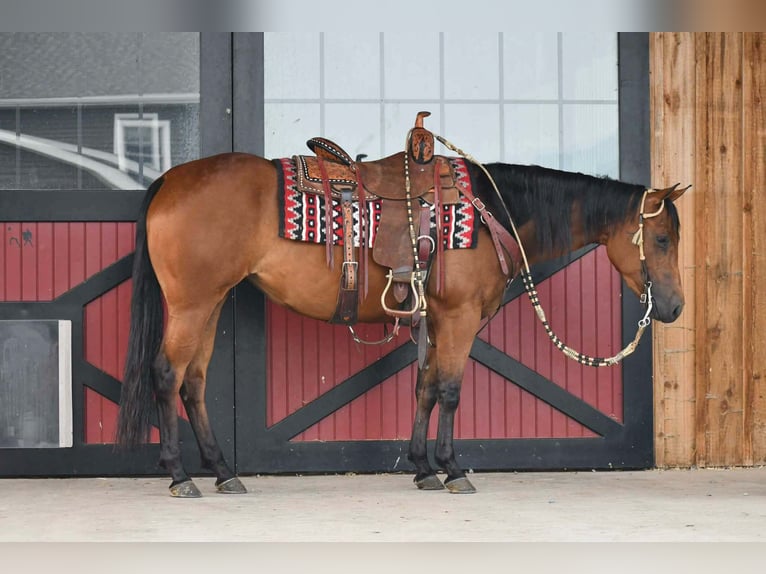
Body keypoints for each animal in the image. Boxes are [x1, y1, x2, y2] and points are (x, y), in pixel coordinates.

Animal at [115, 131, 687, 497]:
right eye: (661, 238)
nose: (675, 306)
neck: (491, 213)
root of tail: (170, 180)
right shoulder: (458, 318)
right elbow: (451, 391)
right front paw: (453, 470)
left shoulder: (435, 320)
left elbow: (426, 388)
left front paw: (421, 468)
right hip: (191, 304)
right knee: (166, 375)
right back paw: (179, 475)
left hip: (211, 302)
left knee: (193, 382)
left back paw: (222, 471)